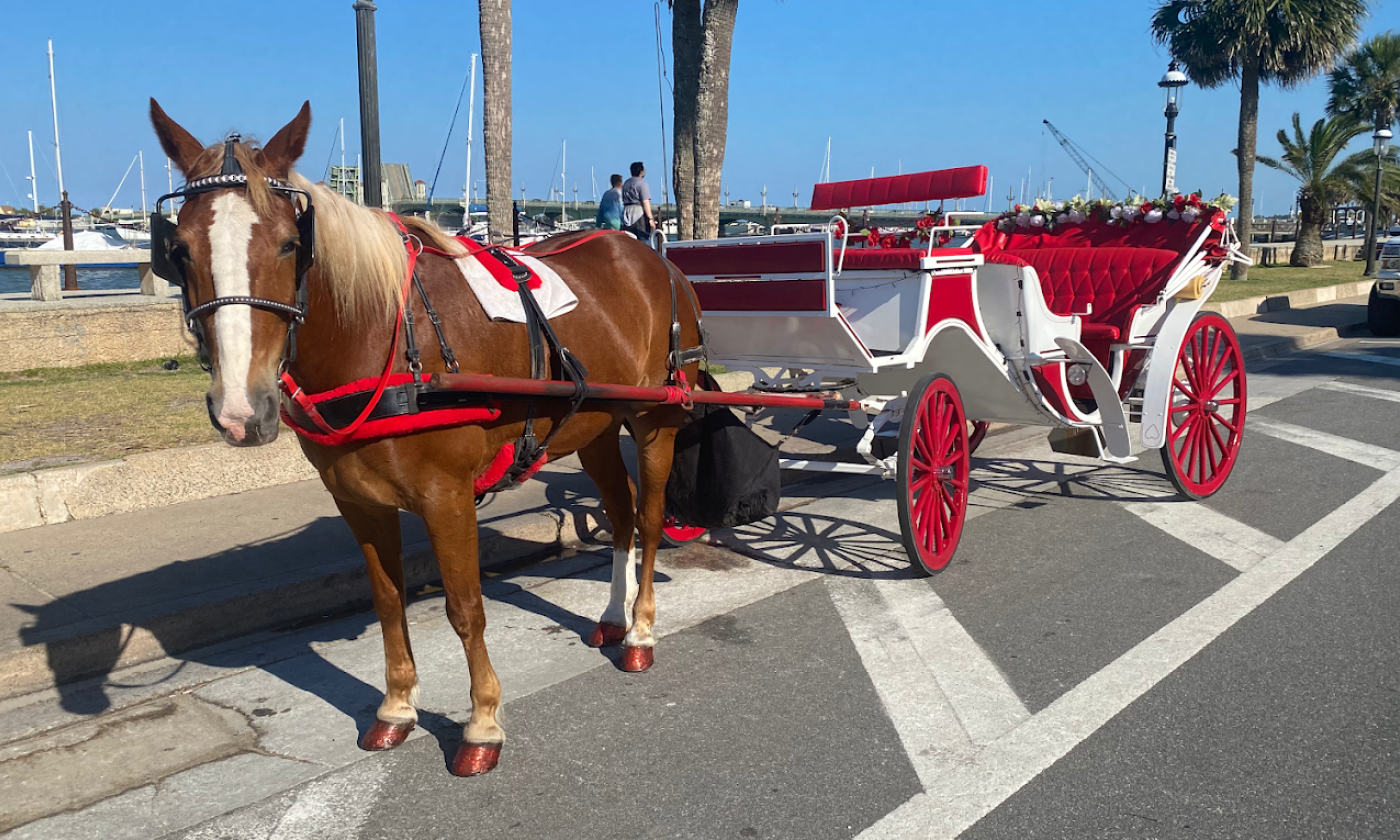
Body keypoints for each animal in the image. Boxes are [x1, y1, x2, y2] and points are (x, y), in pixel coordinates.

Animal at [148, 99, 702, 776]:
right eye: (178, 249)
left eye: (289, 245)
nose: (240, 409)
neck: (384, 336)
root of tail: (651, 255)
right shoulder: (358, 501)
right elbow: (389, 602)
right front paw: (396, 707)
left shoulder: (447, 498)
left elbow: (464, 608)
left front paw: (482, 722)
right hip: (591, 424)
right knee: (620, 516)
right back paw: (613, 617)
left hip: (654, 421)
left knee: (647, 519)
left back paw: (641, 631)